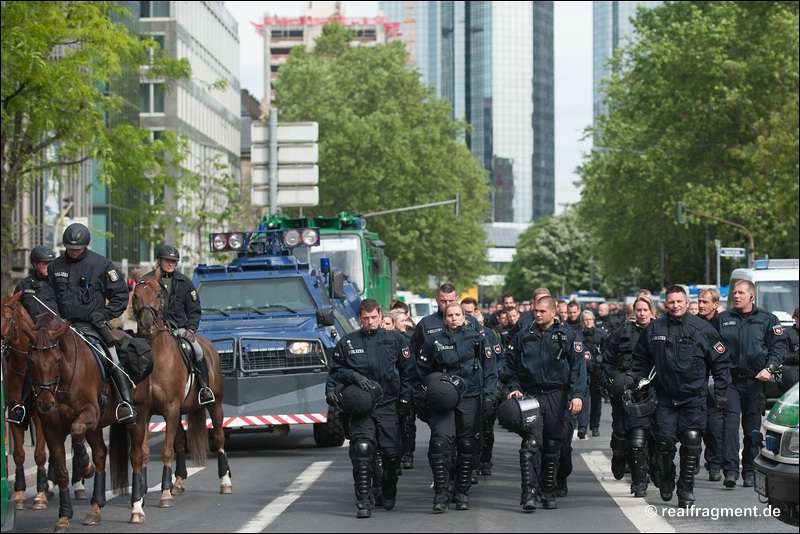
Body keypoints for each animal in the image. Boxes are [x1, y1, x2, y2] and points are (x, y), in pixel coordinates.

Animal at [130, 268, 231, 510]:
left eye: (159, 295)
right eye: (135, 295)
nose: (147, 324)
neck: (156, 358)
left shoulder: (170, 409)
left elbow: (166, 451)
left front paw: (164, 494)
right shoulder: (146, 413)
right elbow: (145, 452)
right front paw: (144, 492)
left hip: (215, 406)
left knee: (220, 438)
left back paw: (225, 481)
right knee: (178, 442)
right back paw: (177, 482)